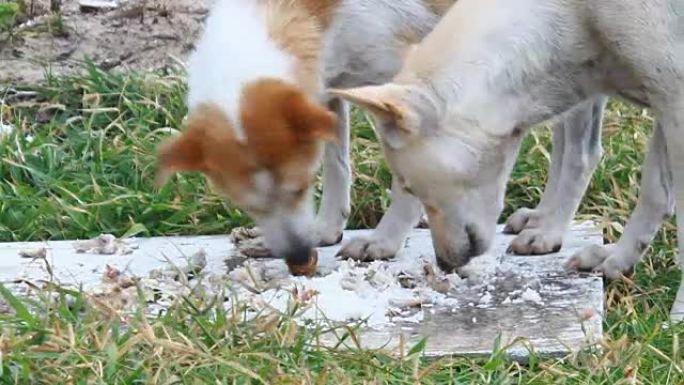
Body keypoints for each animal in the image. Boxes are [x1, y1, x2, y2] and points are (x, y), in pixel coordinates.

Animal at [156, 0, 604, 276]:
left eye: (299, 188)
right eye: (246, 205)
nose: (300, 257)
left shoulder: (405, 95)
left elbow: (404, 185)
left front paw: (385, 241)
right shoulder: (329, 92)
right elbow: (337, 166)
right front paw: (327, 229)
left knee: (581, 153)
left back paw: (551, 231)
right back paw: (541, 217)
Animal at [332, 0, 684, 320]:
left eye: (410, 187)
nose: (444, 264)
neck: (577, 12)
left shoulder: (674, 104)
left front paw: (678, 315)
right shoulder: (663, 105)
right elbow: (654, 192)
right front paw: (618, 258)